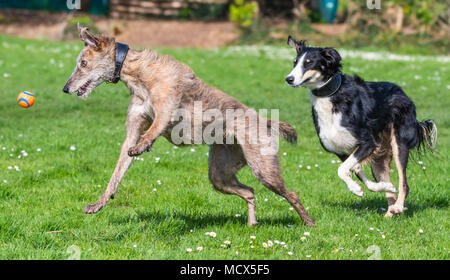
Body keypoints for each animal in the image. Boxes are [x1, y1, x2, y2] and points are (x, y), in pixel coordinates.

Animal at [62, 23, 316, 226]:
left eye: (83, 63)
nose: (65, 88)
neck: (139, 73)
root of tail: (266, 120)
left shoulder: (167, 109)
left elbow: (154, 128)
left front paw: (144, 145)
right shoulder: (133, 130)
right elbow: (116, 174)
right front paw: (98, 203)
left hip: (263, 167)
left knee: (291, 193)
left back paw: (309, 223)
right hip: (220, 173)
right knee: (250, 191)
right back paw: (252, 224)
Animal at [284, 36, 436, 217]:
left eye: (309, 63)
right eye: (294, 62)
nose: (288, 79)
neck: (332, 96)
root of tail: (403, 93)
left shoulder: (367, 143)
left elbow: (342, 170)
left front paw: (356, 188)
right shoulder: (342, 150)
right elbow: (354, 171)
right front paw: (362, 188)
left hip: (399, 144)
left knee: (404, 184)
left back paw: (398, 207)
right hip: (379, 158)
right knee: (390, 191)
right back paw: (389, 213)